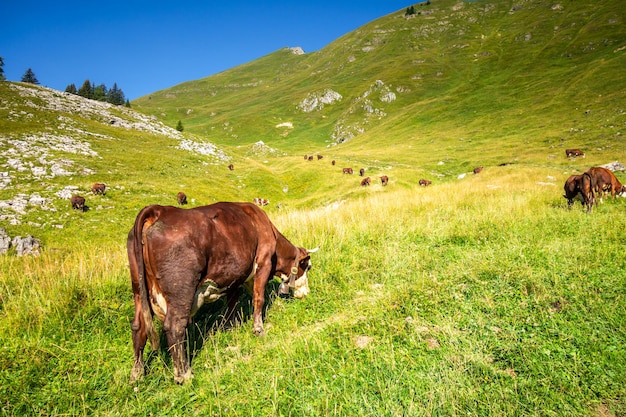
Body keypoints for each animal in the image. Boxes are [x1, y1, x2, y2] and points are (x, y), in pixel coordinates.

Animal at [127, 203, 316, 382]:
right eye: (308, 266)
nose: (306, 293)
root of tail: (159, 210)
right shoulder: (263, 262)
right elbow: (258, 298)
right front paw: (259, 329)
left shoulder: (235, 276)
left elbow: (232, 302)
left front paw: (228, 327)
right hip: (180, 288)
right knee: (175, 327)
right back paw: (184, 375)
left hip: (138, 289)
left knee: (138, 326)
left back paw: (137, 374)